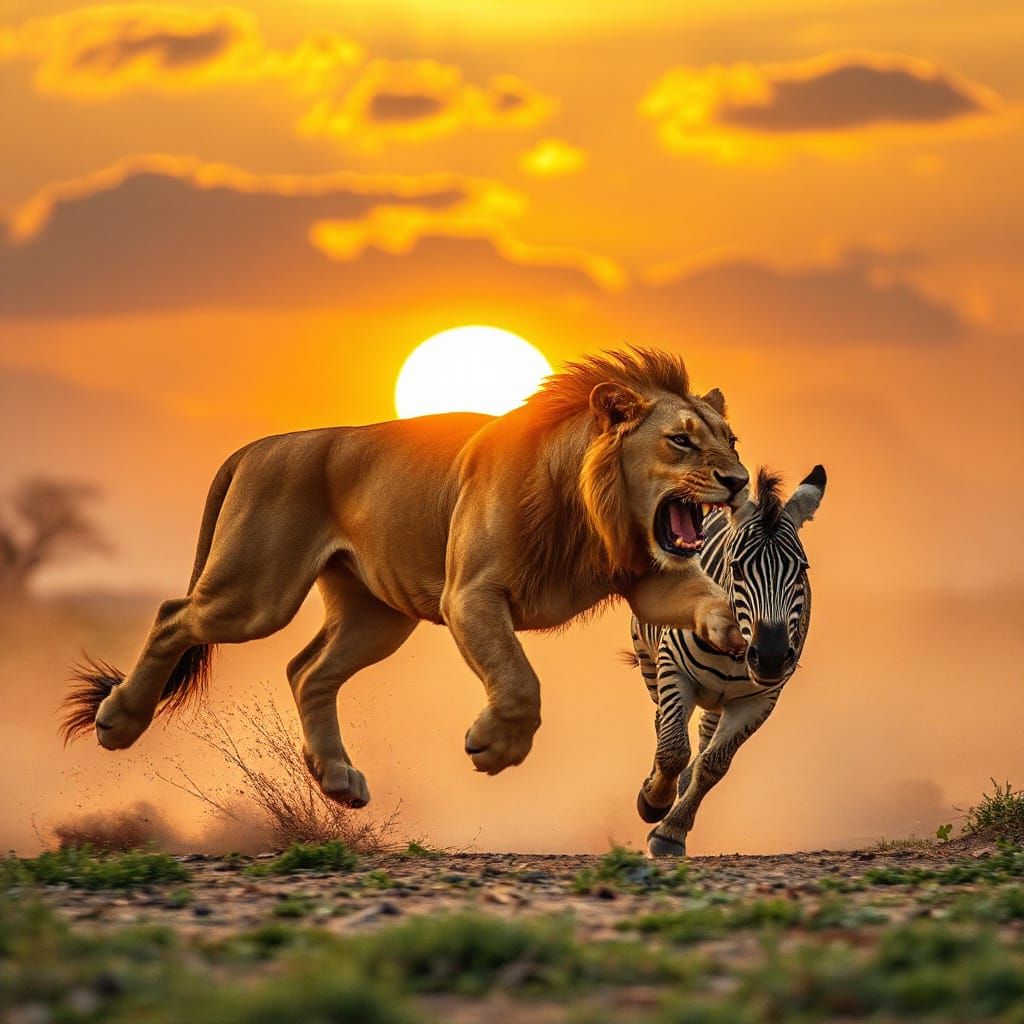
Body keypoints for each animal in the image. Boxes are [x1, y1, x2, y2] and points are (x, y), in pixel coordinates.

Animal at [61, 348, 750, 808]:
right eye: (681, 443)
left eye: (731, 441)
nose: (740, 481)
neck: (593, 508)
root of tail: (257, 447)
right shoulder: (470, 594)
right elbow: (518, 681)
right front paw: (492, 746)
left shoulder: (649, 578)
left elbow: (704, 597)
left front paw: (734, 634)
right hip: (256, 594)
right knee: (173, 616)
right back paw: (118, 720)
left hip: (377, 617)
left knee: (307, 670)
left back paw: (338, 779)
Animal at [630, 464, 827, 857]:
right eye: (736, 568)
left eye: (801, 569)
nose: (771, 657)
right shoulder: (674, 668)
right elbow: (673, 749)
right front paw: (654, 803)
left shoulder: (760, 699)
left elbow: (714, 765)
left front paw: (671, 831)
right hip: (649, 659)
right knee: (663, 724)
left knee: (704, 738)